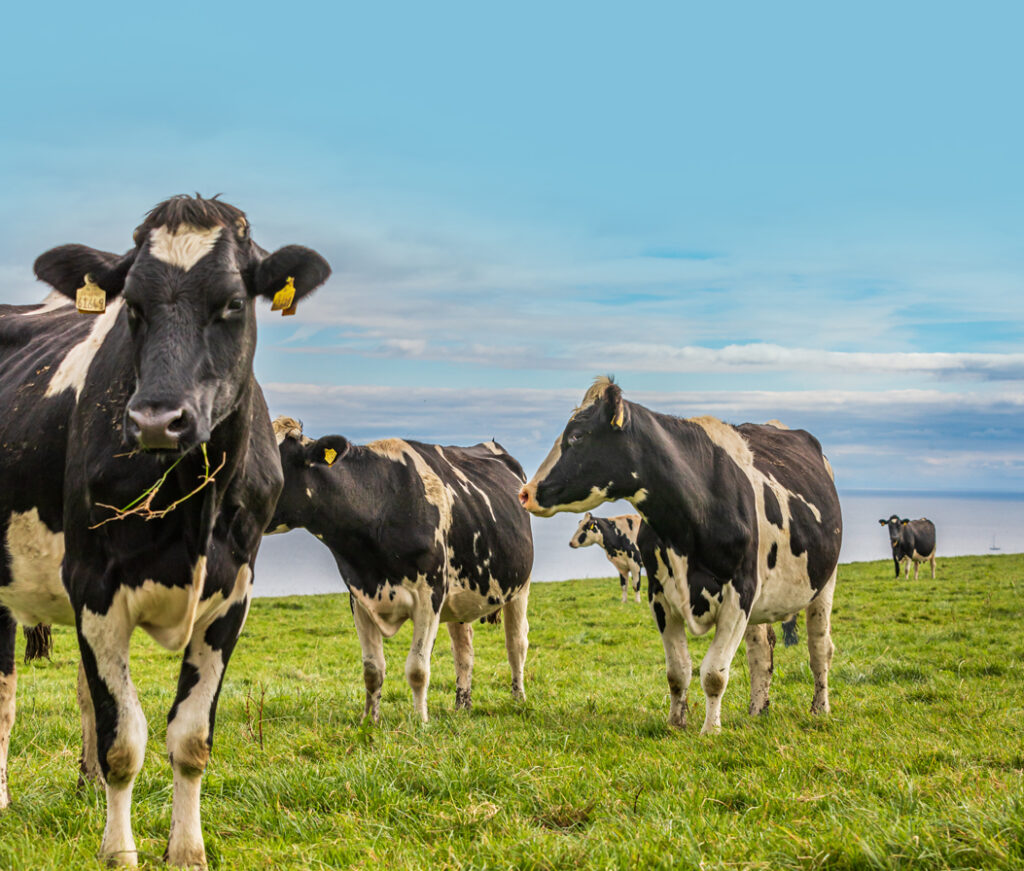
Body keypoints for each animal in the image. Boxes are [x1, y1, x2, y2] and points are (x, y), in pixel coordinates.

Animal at [0, 194, 327, 867]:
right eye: (132, 305)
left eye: (233, 303)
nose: (157, 420)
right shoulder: (94, 586)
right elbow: (123, 737)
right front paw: (119, 853)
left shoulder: (233, 594)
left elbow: (190, 737)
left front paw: (187, 851)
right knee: (5, 697)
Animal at [264, 415, 536, 720]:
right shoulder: (360, 598)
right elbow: (372, 669)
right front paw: (369, 720)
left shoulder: (429, 597)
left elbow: (417, 668)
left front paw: (420, 721)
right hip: (460, 597)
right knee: (463, 650)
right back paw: (462, 705)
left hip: (520, 586)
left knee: (516, 643)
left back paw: (518, 700)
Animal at [520, 378, 839, 732]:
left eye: (576, 436)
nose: (525, 492)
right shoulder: (659, 595)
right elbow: (677, 670)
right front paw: (676, 722)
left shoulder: (740, 593)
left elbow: (714, 673)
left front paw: (710, 730)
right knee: (761, 651)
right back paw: (758, 709)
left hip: (824, 583)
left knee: (819, 647)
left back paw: (820, 707)